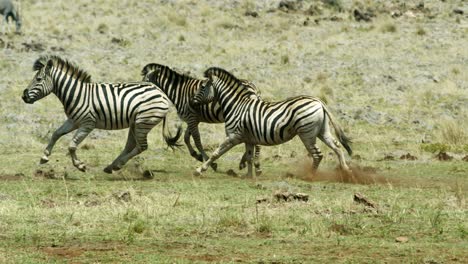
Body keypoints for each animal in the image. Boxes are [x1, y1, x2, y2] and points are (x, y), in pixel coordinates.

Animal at [22, 55, 172, 173]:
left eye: (38, 79)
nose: (24, 97)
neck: (76, 94)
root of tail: (159, 91)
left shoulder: (88, 124)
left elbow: (71, 146)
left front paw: (80, 165)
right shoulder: (73, 121)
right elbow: (56, 134)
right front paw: (44, 157)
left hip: (144, 122)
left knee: (142, 146)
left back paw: (117, 165)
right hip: (135, 123)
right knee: (131, 145)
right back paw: (111, 166)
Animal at [191, 66, 352, 177]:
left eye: (203, 87)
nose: (192, 103)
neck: (235, 105)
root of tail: (319, 102)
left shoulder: (233, 136)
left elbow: (216, 153)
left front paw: (199, 170)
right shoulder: (248, 138)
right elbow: (249, 157)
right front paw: (249, 176)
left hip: (307, 133)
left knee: (318, 154)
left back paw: (310, 176)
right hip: (321, 131)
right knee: (337, 147)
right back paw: (346, 171)